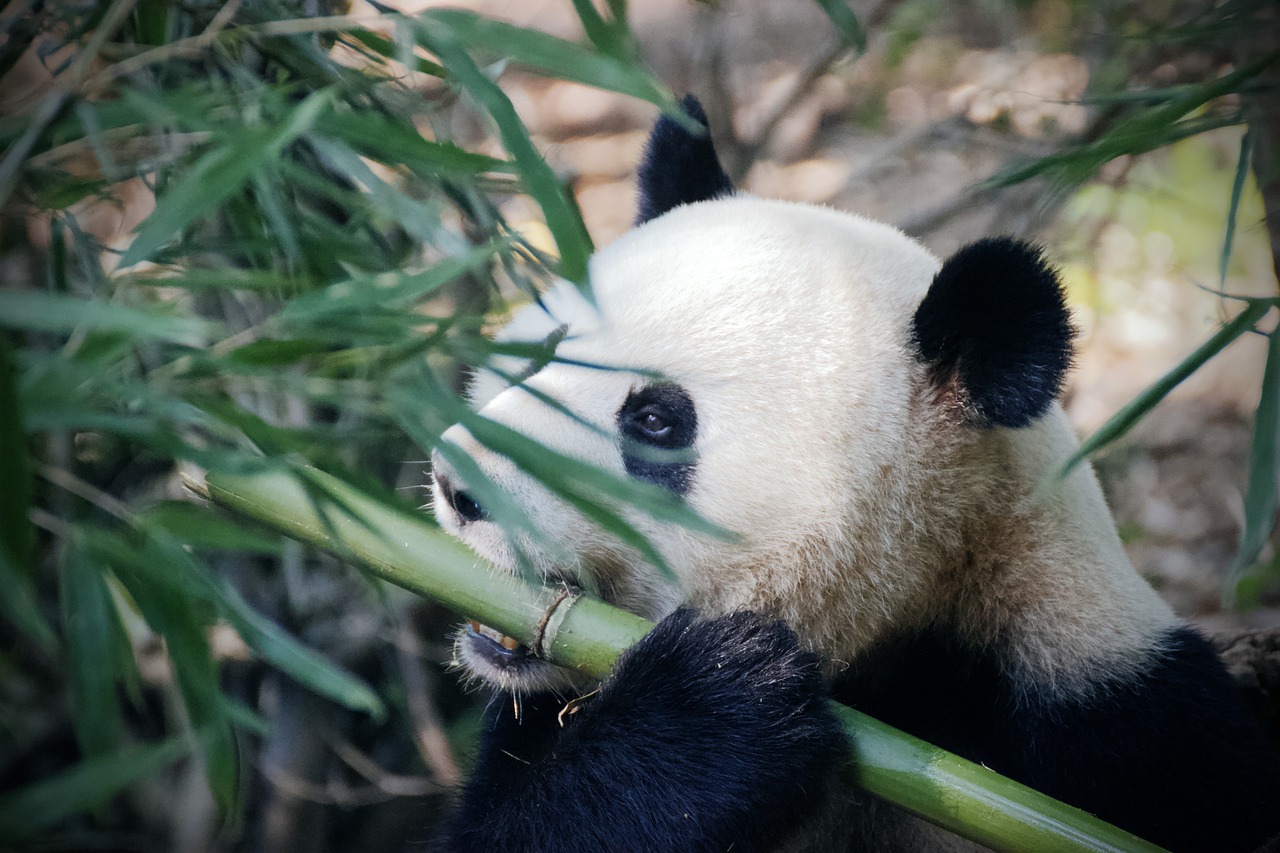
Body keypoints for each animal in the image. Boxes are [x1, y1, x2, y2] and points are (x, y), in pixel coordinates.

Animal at [430, 96, 1280, 845]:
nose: (458, 484)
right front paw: (716, 704)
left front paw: (720, 697)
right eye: (543, 351)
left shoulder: (1120, 725)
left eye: (656, 422)